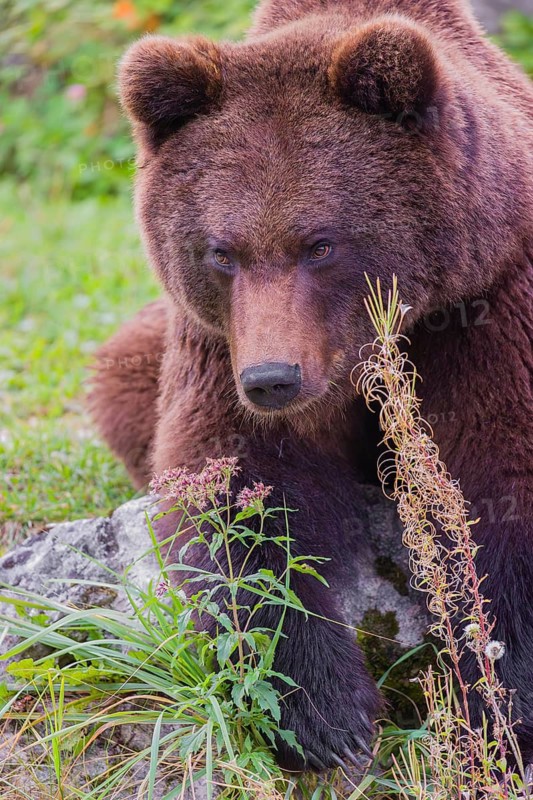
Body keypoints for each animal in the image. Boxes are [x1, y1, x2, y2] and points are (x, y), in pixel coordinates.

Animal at [89, 0, 533, 773]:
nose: (273, 378)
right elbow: (241, 492)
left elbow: (499, 474)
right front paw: (327, 713)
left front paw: (494, 700)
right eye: (222, 251)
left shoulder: (490, 301)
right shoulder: (219, 343)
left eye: (320, 243)